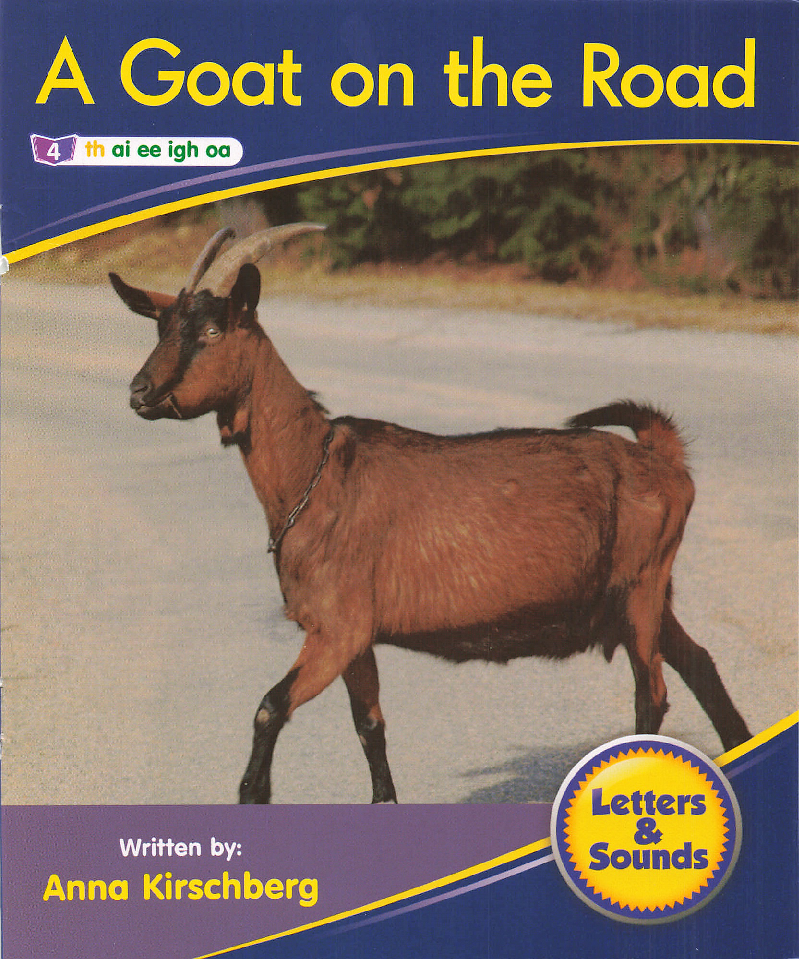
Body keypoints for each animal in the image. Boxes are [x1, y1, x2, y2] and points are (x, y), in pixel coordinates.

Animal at [112, 224, 752, 804]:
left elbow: (270, 708)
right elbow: (369, 727)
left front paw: (253, 792)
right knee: (700, 664)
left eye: (212, 330)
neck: (313, 472)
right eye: (162, 327)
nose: (139, 393)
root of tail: (663, 459)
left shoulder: (337, 629)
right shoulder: (353, 638)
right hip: (651, 592)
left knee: (654, 694)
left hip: (641, 585)